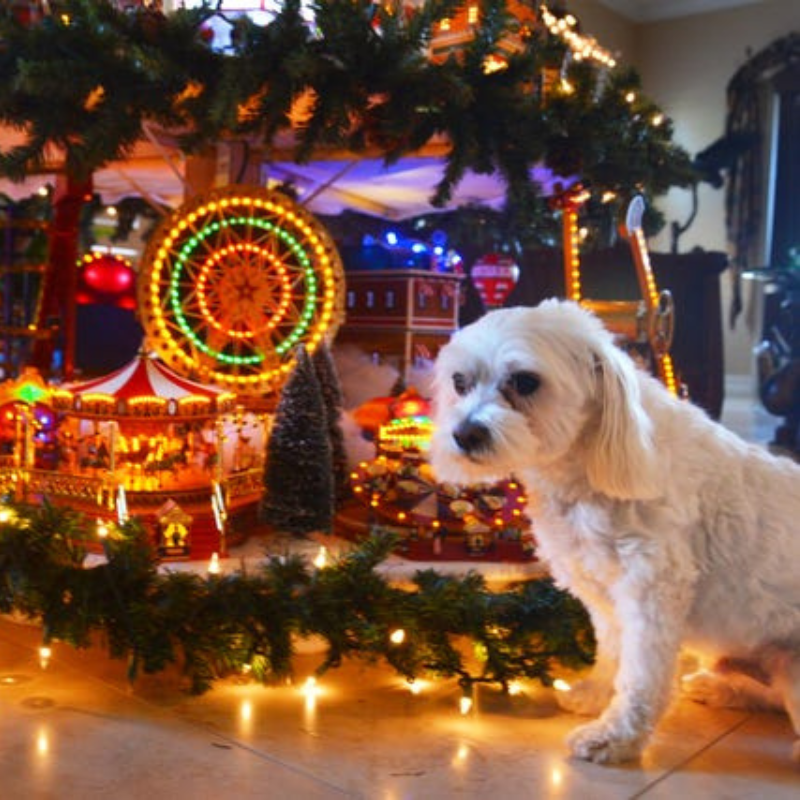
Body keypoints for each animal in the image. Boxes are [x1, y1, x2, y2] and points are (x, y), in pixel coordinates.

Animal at [432, 298, 800, 764]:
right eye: (459, 381)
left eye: (525, 381)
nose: (464, 434)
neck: (590, 464)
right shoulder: (603, 594)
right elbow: (612, 651)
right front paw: (595, 694)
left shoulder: (652, 591)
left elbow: (641, 674)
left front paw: (617, 737)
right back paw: (719, 686)